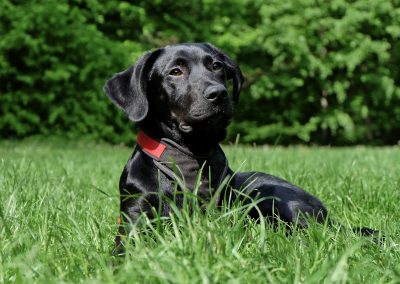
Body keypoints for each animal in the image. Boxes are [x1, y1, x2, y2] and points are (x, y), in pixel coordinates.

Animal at [104, 42, 376, 251]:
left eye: (216, 66)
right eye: (175, 71)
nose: (218, 93)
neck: (190, 156)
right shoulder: (135, 216)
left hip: (274, 197)